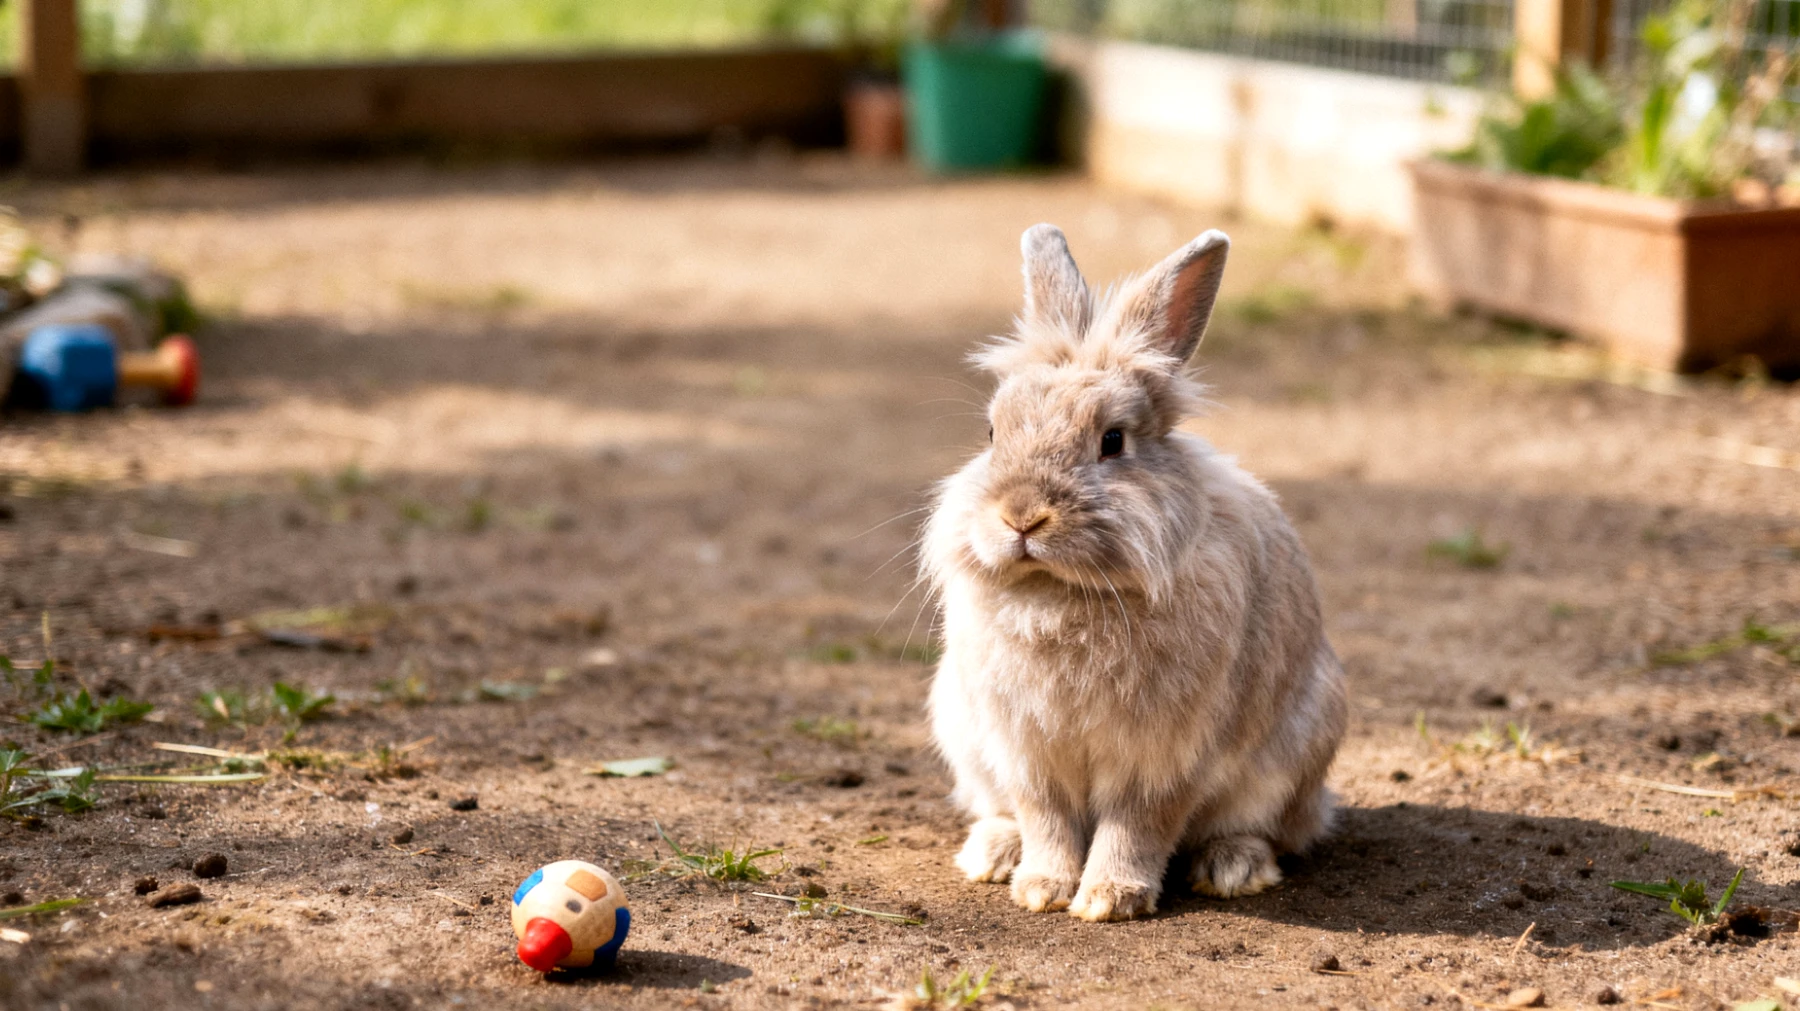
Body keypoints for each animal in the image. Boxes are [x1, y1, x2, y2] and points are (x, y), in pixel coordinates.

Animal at [920, 224, 1347, 922]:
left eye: (1113, 441)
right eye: (991, 434)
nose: (1021, 517)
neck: (1066, 591)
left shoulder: (1163, 757)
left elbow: (1137, 826)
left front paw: (1108, 900)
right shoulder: (1026, 751)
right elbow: (1045, 819)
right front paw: (1041, 890)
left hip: (1293, 757)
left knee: (1266, 828)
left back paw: (1233, 868)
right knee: (1002, 812)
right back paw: (994, 854)